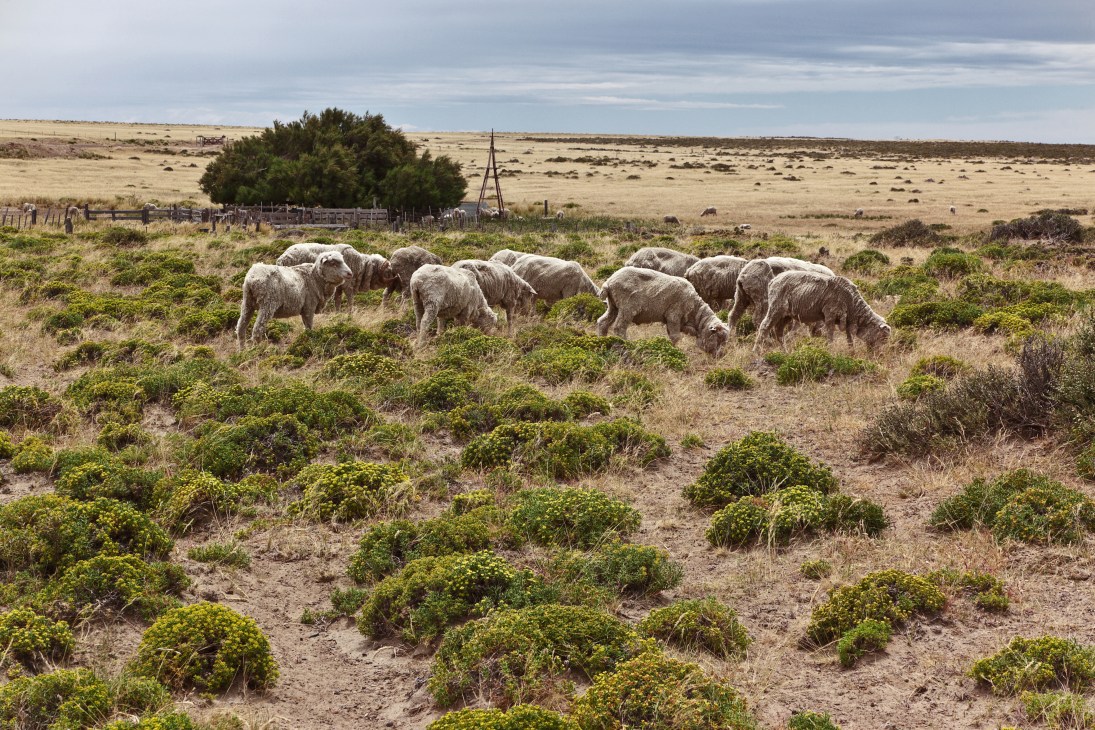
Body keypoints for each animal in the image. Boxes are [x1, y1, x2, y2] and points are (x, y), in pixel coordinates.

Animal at [596, 267, 730, 357]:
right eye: (718, 338)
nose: (720, 355)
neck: (695, 313)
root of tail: (609, 282)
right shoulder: (674, 316)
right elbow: (675, 337)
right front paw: (674, 350)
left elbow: (672, 336)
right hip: (627, 307)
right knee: (619, 327)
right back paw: (627, 344)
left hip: (613, 306)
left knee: (602, 322)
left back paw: (602, 341)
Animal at [755, 271, 890, 352]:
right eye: (882, 337)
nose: (878, 354)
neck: (852, 302)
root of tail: (773, 280)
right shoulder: (830, 315)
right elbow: (830, 334)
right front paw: (830, 350)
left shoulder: (847, 320)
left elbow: (849, 338)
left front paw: (852, 353)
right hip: (776, 308)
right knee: (764, 326)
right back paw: (756, 350)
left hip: (786, 315)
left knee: (779, 332)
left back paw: (785, 352)